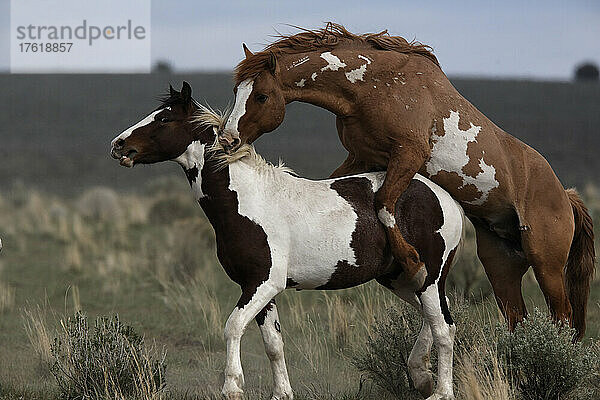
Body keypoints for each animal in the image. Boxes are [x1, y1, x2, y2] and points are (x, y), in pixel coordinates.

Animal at [109, 83, 464, 398]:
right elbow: (273, 344)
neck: (248, 200)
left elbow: (233, 326)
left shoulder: (264, 283)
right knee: (434, 319)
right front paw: (281, 392)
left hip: (429, 278)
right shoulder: (255, 287)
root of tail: (447, 199)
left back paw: (440, 392)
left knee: (444, 328)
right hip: (402, 280)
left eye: (164, 119)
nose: (119, 146)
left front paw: (232, 387)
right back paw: (420, 376)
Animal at [220, 23, 596, 340]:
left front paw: (412, 261)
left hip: (546, 263)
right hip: (502, 265)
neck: (372, 84)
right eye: (236, 91)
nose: (228, 139)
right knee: (517, 317)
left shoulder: (408, 155)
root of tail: (565, 196)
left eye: (261, 96)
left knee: (562, 317)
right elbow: (347, 191)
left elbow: (384, 203)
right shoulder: (361, 156)